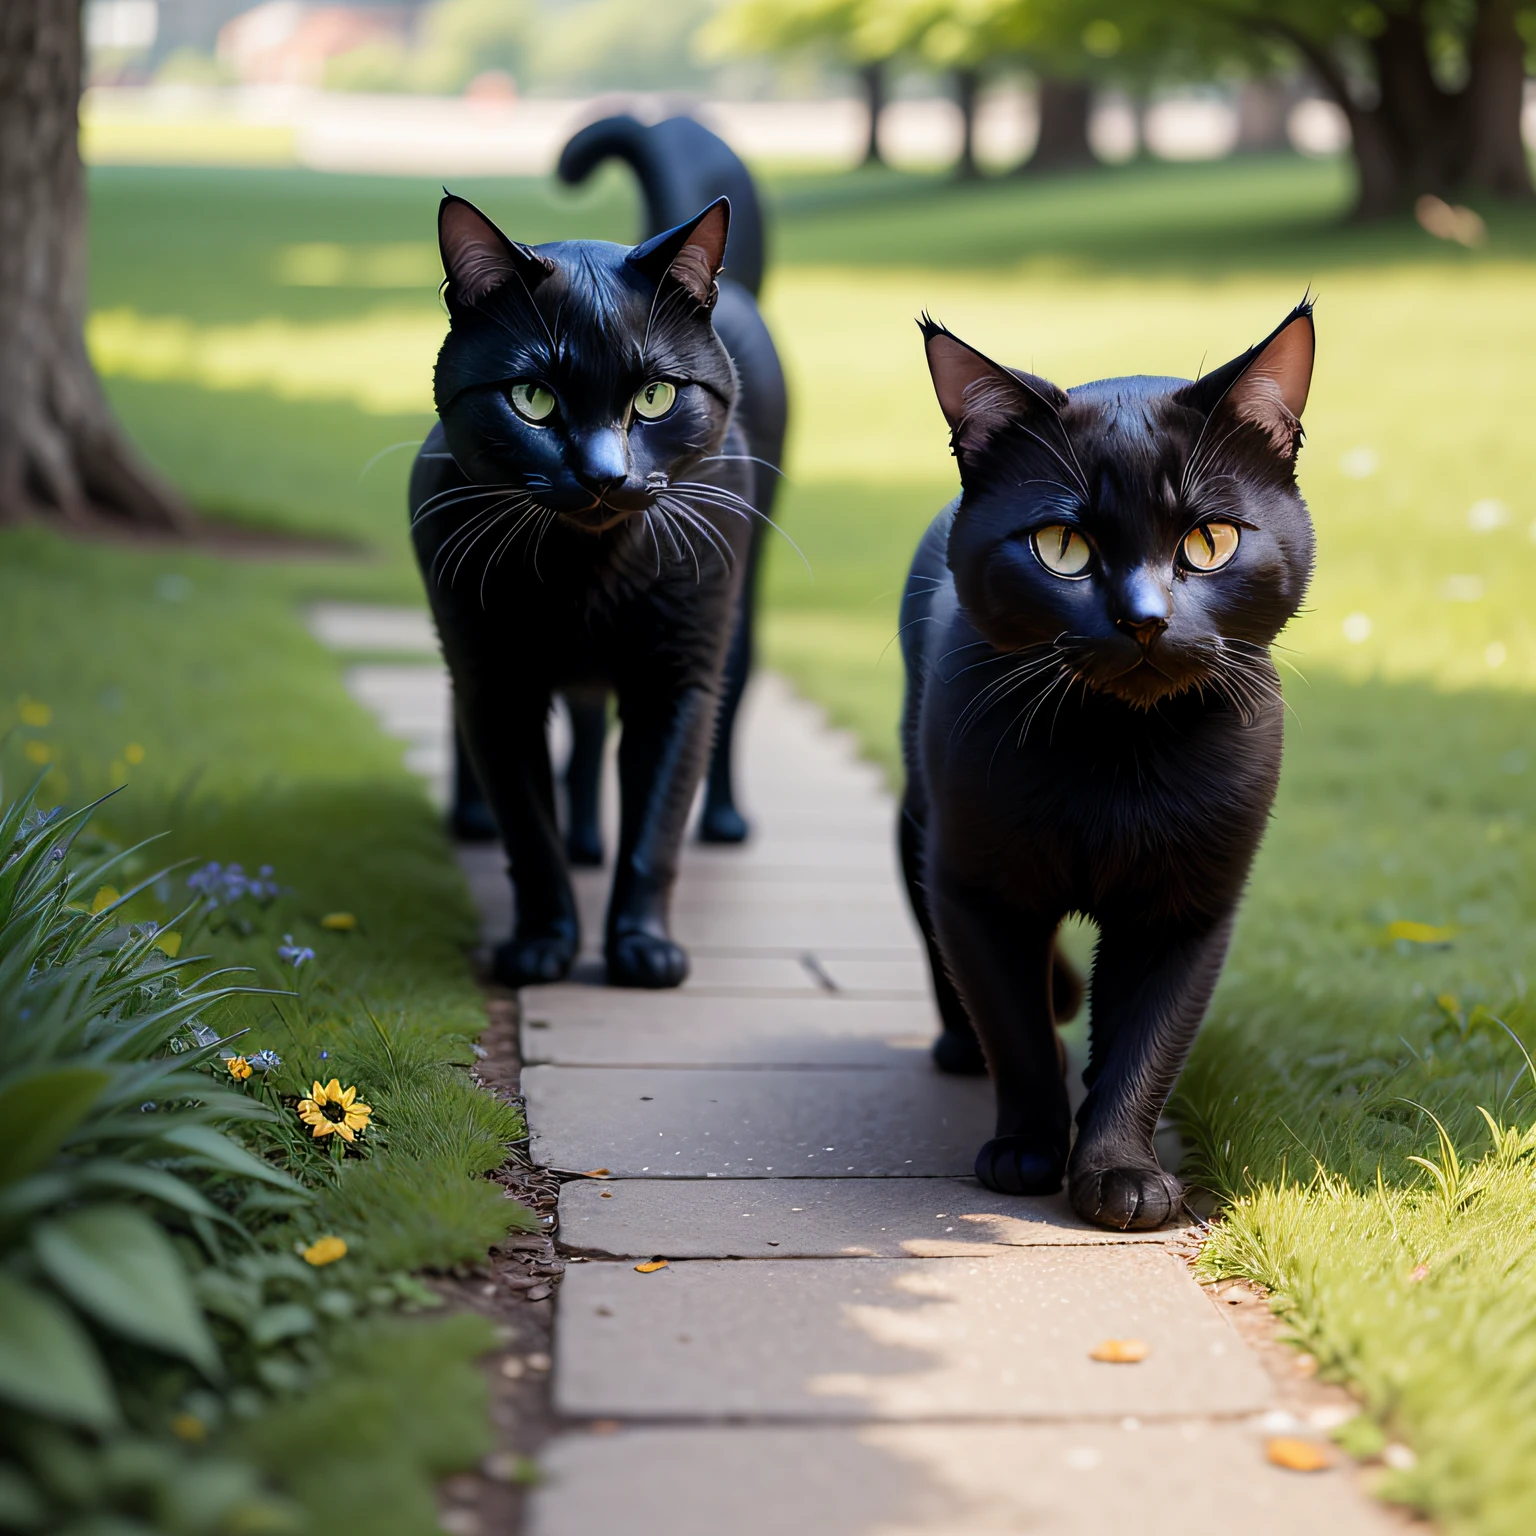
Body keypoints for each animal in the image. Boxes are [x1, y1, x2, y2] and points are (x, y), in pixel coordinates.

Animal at [411, 192, 774, 989]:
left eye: (657, 395)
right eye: (532, 398)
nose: (605, 475)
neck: (590, 573)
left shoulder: (678, 674)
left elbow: (657, 824)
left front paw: (641, 947)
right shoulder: (494, 679)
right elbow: (527, 825)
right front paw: (542, 943)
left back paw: (721, 822)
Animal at [897, 305, 1320, 1228]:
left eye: (1209, 540)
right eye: (1061, 546)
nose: (1143, 619)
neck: (1119, 758)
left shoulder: (1188, 907)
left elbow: (1148, 1041)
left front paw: (1121, 1171)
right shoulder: (976, 887)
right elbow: (1014, 1024)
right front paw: (1026, 1149)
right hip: (918, 816)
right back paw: (959, 1046)